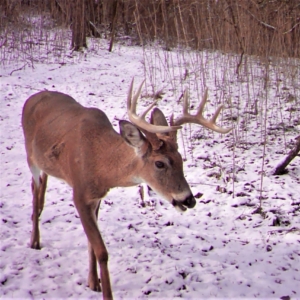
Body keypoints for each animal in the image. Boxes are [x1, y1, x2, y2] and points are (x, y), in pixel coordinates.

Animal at [21, 78, 232, 298]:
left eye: (181, 159)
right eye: (159, 163)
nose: (188, 199)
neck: (101, 163)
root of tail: (33, 97)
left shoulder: (97, 197)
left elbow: (91, 244)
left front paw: (93, 282)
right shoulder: (79, 194)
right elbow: (101, 251)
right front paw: (105, 292)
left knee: (43, 180)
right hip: (30, 156)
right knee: (34, 187)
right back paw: (34, 240)